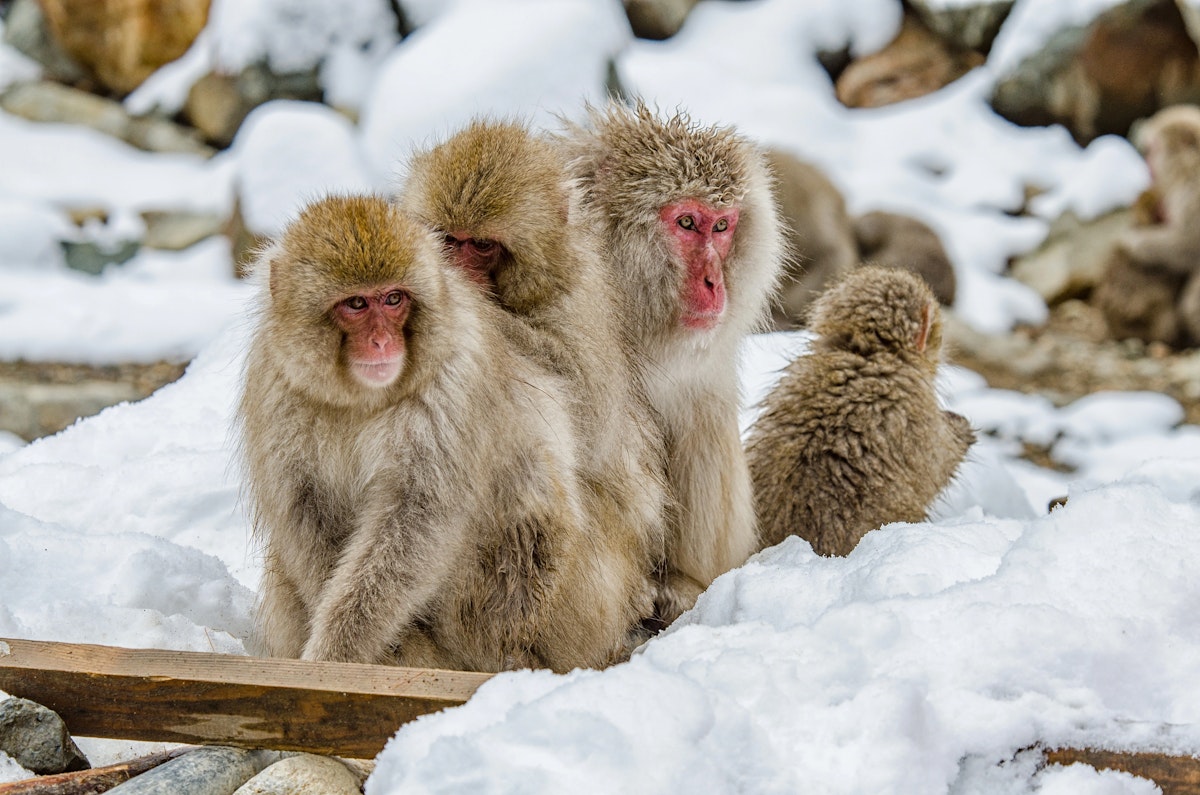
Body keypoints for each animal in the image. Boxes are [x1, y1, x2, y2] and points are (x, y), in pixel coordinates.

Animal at [238, 195, 633, 672]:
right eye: (356, 304)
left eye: (393, 299)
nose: (381, 342)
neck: (361, 398)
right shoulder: (276, 383)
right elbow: (306, 514)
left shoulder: (452, 384)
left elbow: (418, 521)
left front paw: (338, 653)